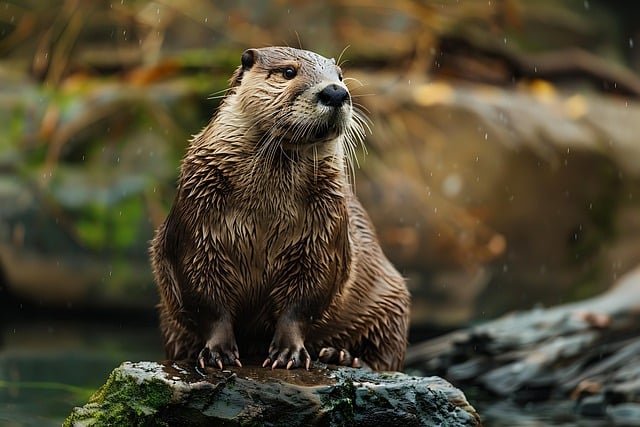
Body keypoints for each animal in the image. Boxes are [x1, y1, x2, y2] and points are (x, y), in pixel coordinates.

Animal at [150, 45, 410, 370]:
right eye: (288, 71)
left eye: (339, 75)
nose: (335, 92)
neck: (265, 210)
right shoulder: (196, 229)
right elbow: (206, 301)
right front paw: (217, 351)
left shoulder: (322, 239)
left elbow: (302, 304)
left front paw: (289, 351)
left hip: (392, 299)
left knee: (387, 357)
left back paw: (342, 356)